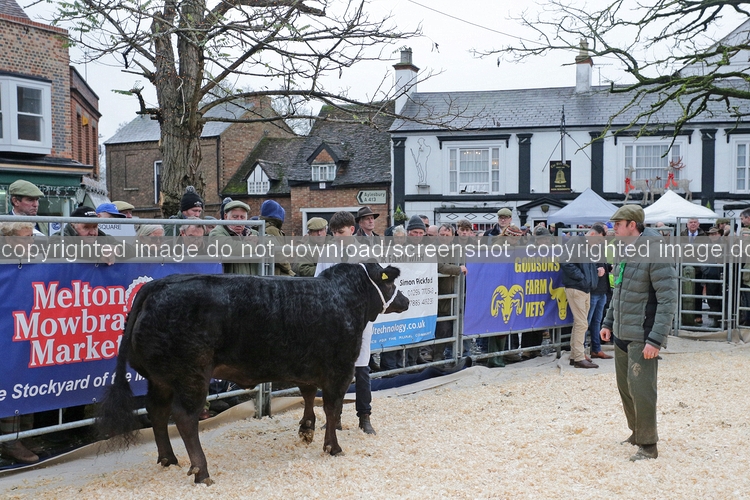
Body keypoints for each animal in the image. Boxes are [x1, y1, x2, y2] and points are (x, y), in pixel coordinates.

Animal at [97, 262, 409, 485]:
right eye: (390, 281)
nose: (405, 300)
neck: (346, 297)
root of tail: (156, 285)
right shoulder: (340, 368)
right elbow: (332, 409)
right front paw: (333, 447)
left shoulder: (308, 365)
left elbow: (308, 394)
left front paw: (306, 430)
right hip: (192, 374)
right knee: (184, 417)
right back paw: (202, 471)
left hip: (159, 379)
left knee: (157, 412)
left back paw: (168, 459)